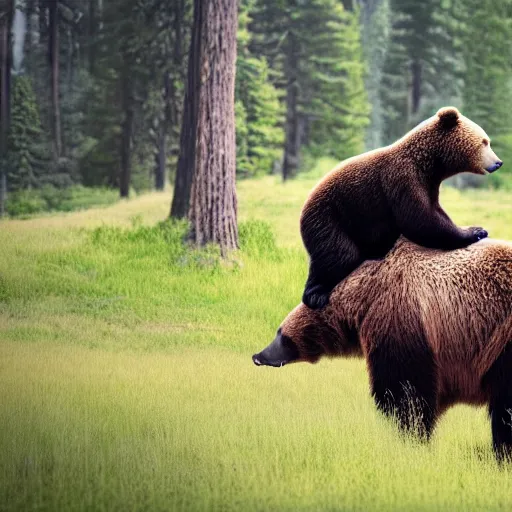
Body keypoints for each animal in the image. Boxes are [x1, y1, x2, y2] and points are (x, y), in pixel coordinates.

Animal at [254, 238, 512, 462]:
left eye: (281, 335)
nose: (258, 356)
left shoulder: (401, 320)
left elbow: (404, 393)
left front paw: (410, 439)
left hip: (503, 342)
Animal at [302, 106, 502, 310]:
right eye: (484, 142)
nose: (498, 162)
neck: (429, 163)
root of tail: (306, 203)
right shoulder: (402, 179)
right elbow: (420, 220)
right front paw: (475, 231)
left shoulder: (428, 185)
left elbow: (433, 213)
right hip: (332, 218)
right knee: (338, 256)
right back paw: (317, 295)